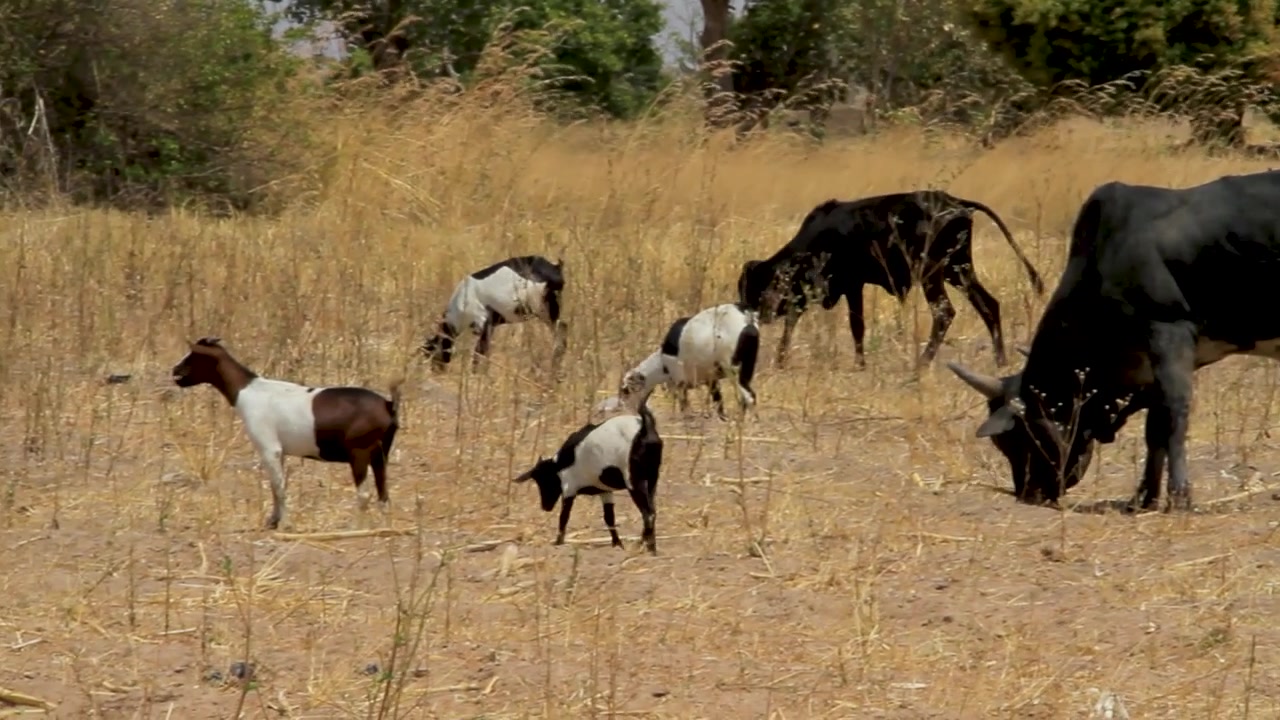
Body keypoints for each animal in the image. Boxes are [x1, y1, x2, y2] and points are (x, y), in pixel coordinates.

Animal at [171, 337, 403, 530]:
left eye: (193, 356)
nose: (175, 370)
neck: (247, 390)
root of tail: (387, 404)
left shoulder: (269, 449)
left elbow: (279, 487)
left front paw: (284, 524)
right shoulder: (279, 453)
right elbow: (276, 488)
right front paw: (273, 521)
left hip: (359, 452)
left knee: (364, 494)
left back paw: (355, 527)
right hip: (380, 453)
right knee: (384, 492)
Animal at [420, 254, 568, 373]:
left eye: (434, 354)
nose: (436, 371)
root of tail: (555, 268)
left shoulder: (483, 323)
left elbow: (480, 351)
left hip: (543, 309)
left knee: (561, 331)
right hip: (546, 312)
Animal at [513, 388, 663, 554]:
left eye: (544, 480)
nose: (545, 506)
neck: (560, 463)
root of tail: (644, 428)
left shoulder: (569, 488)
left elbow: (564, 516)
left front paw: (558, 542)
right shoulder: (605, 491)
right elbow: (609, 518)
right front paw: (617, 543)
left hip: (634, 482)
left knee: (648, 514)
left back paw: (644, 546)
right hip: (652, 479)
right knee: (652, 510)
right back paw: (649, 546)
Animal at [609, 302, 760, 421]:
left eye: (626, 391)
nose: (622, 410)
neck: (662, 363)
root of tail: (748, 319)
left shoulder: (679, 381)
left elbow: (683, 402)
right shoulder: (711, 379)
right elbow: (718, 400)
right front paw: (721, 417)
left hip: (734, 370)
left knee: (749, 396)